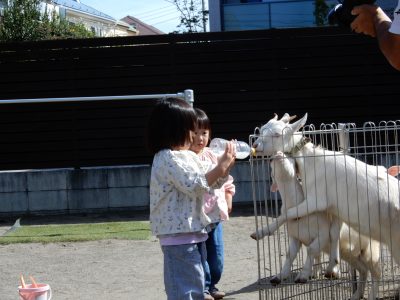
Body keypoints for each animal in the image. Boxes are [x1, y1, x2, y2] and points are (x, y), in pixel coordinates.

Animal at [252, 151, 380, 298]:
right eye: (271, 160)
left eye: (291, 158)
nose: (278, 154)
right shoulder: (295, 237)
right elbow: (290, 254)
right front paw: (279, 276)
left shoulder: (323, 234)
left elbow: (311, 250)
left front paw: (303, 276)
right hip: (350, 254)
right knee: (363, 270)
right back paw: (356, 295)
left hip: (370, 249)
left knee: (376, 273)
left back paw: (371, 294)